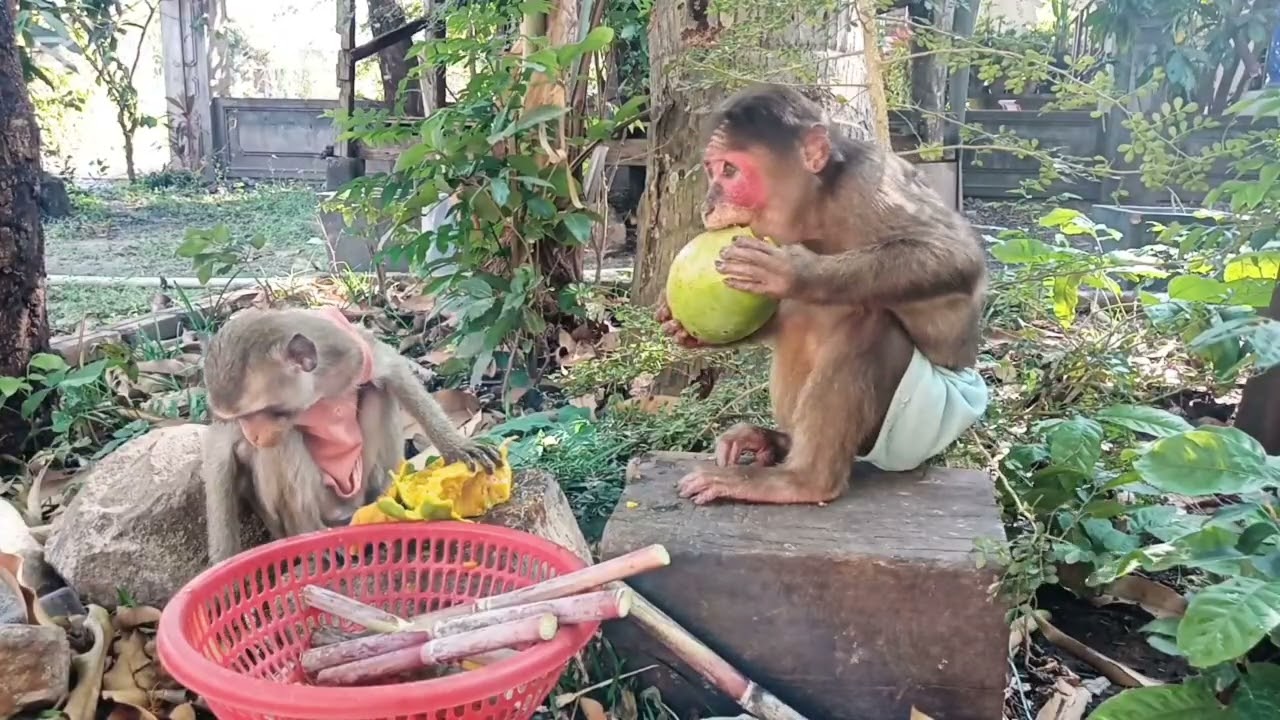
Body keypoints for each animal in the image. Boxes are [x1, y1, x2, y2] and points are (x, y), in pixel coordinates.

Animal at [200, 306, 501, 563]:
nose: (252, 435)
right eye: (240, 418)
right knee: (283, 441)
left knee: (377, 392)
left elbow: (392, 372)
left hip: (357, 488)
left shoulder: (351, 351)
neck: (316, 388)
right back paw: (306, 532)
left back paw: (381, 501)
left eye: (265, 411)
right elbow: (219, 455)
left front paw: (457, 447)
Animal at [656, 83, 990, 506]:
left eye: (730, 171)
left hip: (921, 424)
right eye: (712, 170)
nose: (707, 205)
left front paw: (796, 272)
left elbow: (957, 257)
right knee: (807, 317)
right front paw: (682, 329)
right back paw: (780, 443)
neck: (818, 211)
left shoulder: (871, 185)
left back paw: (805, 479)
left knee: (865, 317)